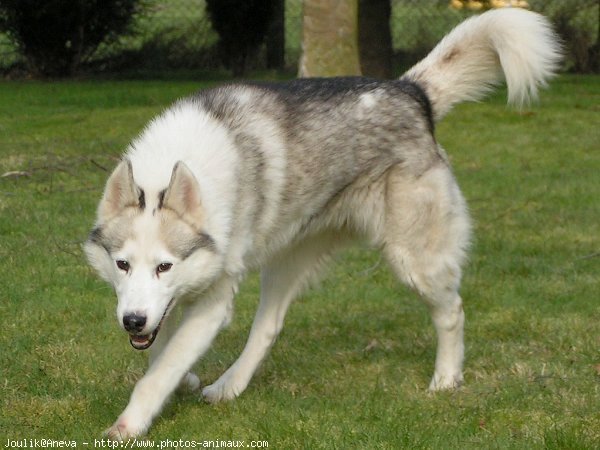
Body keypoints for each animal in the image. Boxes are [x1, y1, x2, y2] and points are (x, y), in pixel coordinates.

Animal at [85, 7, 564, 440]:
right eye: (122, 265)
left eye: (164, 266)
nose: (131, 322)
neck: (170, 168)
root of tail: (410, 91)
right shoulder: (166, 303)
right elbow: (161, 352)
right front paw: (182, 377)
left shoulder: (212, 301)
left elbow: (158, 371)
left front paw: (129, 424)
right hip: (286, 261)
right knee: (267, 328)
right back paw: (228, 387)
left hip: (415, 262)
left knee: (453, 312)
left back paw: (446, 380)